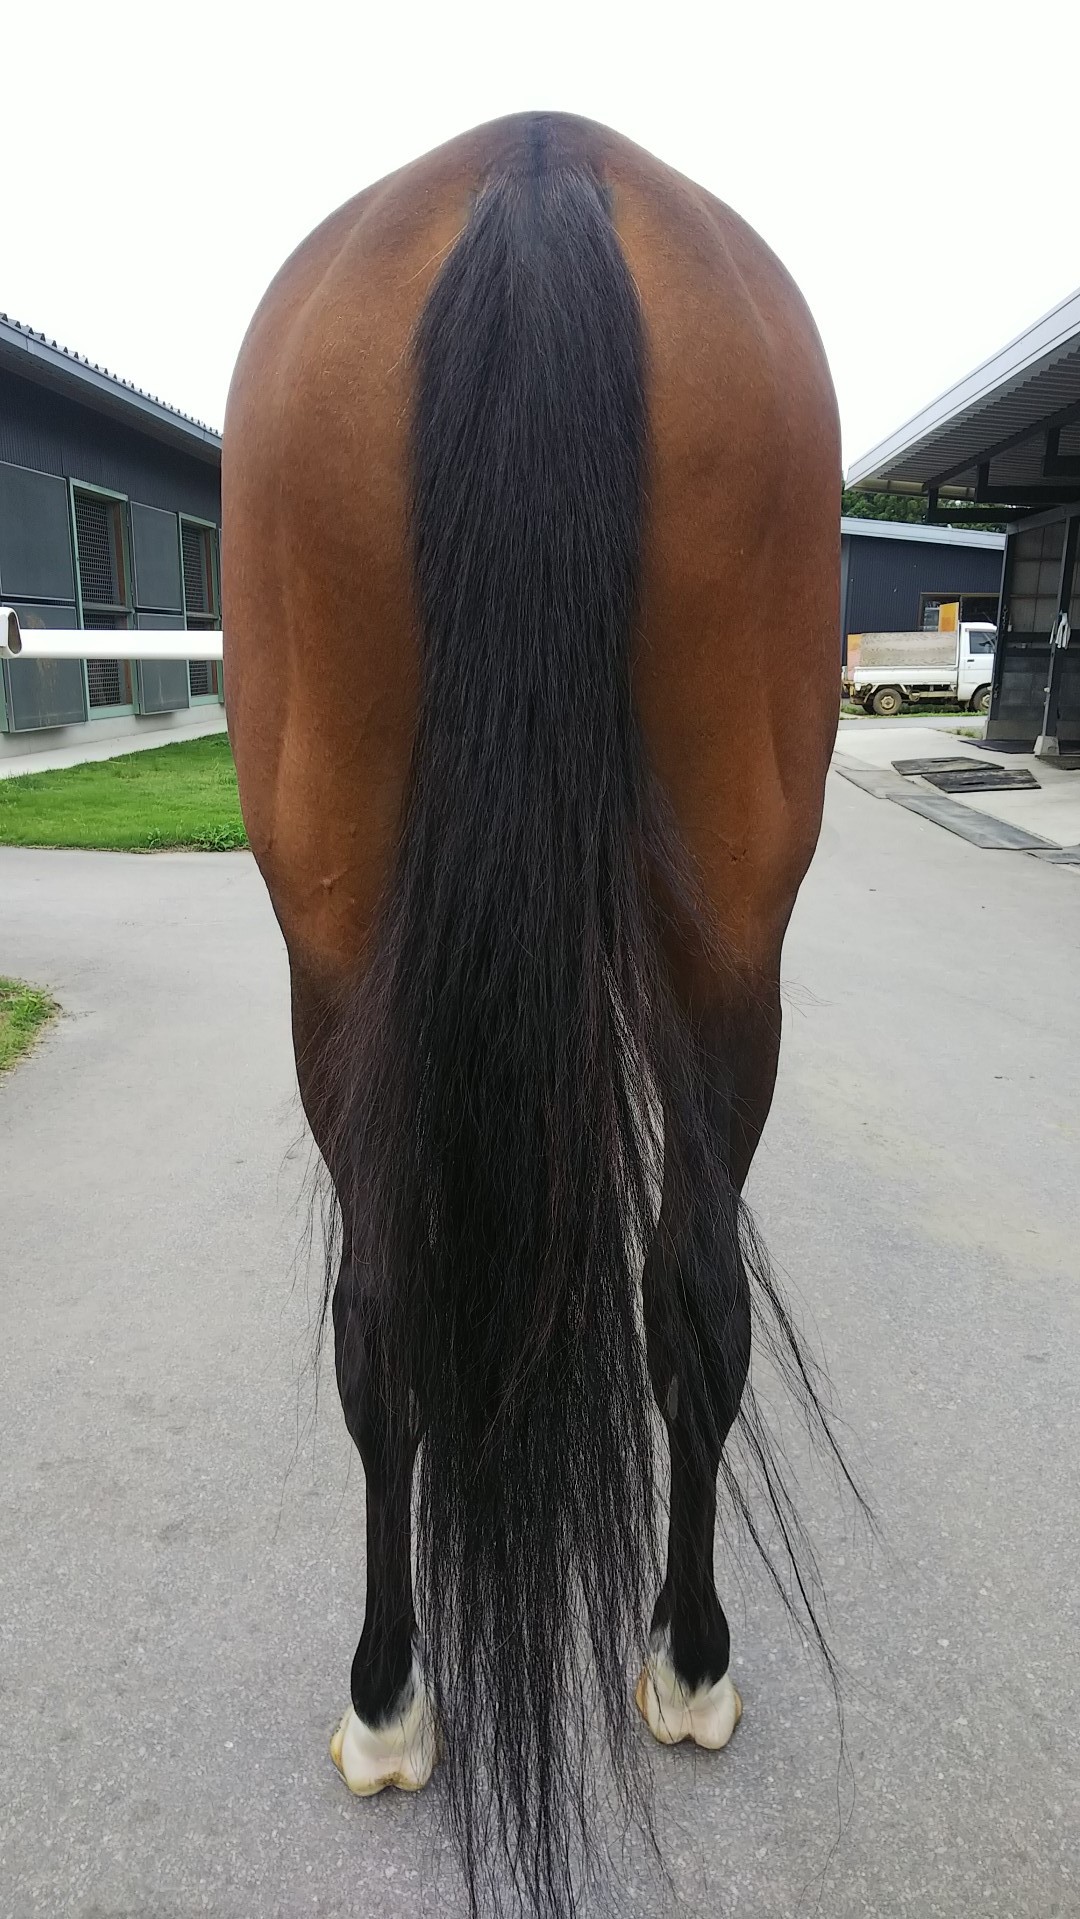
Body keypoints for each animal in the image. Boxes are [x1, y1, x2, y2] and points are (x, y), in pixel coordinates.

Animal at [223, 111, 848, 1919]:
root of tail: (538, 158)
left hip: (349, 945)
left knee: (396, 1313)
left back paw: (403, 1690)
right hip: (725, 924)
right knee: (680, 1289)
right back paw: (676, 1661)